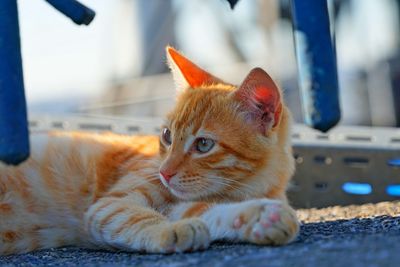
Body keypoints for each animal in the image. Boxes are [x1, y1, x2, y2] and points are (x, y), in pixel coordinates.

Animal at [0, 46, 298, 255]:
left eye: (203, 144)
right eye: (167, 136)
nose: (164, 173)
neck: (245, 186)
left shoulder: (182, 204)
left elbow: (207, 210)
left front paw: (260, 218)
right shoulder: (113, 204)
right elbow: (141, 217)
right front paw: (170, 230)